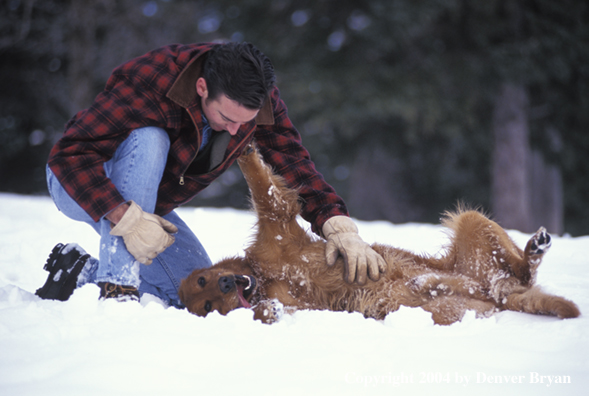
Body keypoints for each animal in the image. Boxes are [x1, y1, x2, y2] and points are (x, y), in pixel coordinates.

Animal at [178, 144, 580, 324]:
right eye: (208, 305)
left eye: (203, 280)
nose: (227, 283)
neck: (263, 276)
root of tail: (497, 294)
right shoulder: (302, 304)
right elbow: (267, 310)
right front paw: (267, 310)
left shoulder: (276, 228)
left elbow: (261, 186)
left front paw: (241, 143)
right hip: (440, 310)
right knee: (517, 281)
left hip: (469, 219)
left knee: (523, 270)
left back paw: (534, 247)